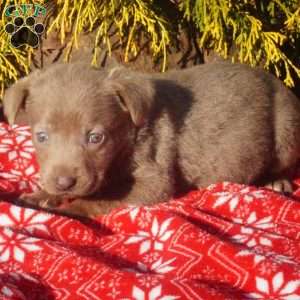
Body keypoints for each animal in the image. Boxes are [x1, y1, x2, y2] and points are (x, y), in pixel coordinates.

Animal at [2, 62, 300, 217]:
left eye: (96, 138)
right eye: (41, 136)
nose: (65, 183)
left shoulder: (154, 181)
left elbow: (98, 199)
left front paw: (66, 210)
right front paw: (41, 195)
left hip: (287, 128)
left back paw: (277, 181)